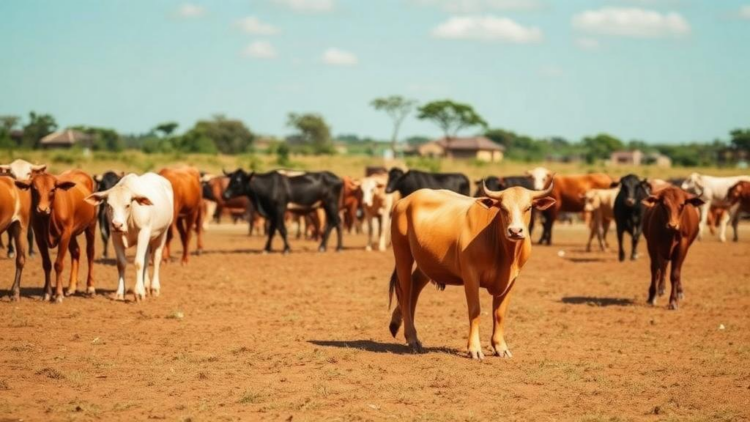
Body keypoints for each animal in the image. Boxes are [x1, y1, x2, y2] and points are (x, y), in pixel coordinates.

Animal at [15, 170, 97, 303]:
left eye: (53, 189)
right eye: (34, 189)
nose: (42, 209)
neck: (48, 220)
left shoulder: (64, 235)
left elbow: (58, 264)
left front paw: (58, 294)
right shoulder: (39, 237)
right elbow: (47, 264)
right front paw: (47, 293)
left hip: (91, 225)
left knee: (90, 252)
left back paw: (90, 288)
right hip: (72, 234)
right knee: (76, 252)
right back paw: (71, 288)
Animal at [85, 173, 174, 301]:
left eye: (127, 205)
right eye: (109, 205)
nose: (117, 224)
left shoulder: (143, 232)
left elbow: (138, 262)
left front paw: (139, 293)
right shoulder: (115, 236)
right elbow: (122, 263)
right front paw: (120, 292)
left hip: (162, 233)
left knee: (156, 258)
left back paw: (154, 288)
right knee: (146, 259)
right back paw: (145, 285)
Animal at [388, 179, 555, 360]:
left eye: (528, 207)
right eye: (503, 208)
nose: (515, 231)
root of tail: (404, 201)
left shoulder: (511, 279)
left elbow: (500, 313)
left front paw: (500, 347)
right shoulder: (470, 274)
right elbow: (475, 310)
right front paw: (474, 348)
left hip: (427, 262)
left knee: (415, 287)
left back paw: (399, 327)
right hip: (402, 253)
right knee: (405, 293)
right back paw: (411, 338)